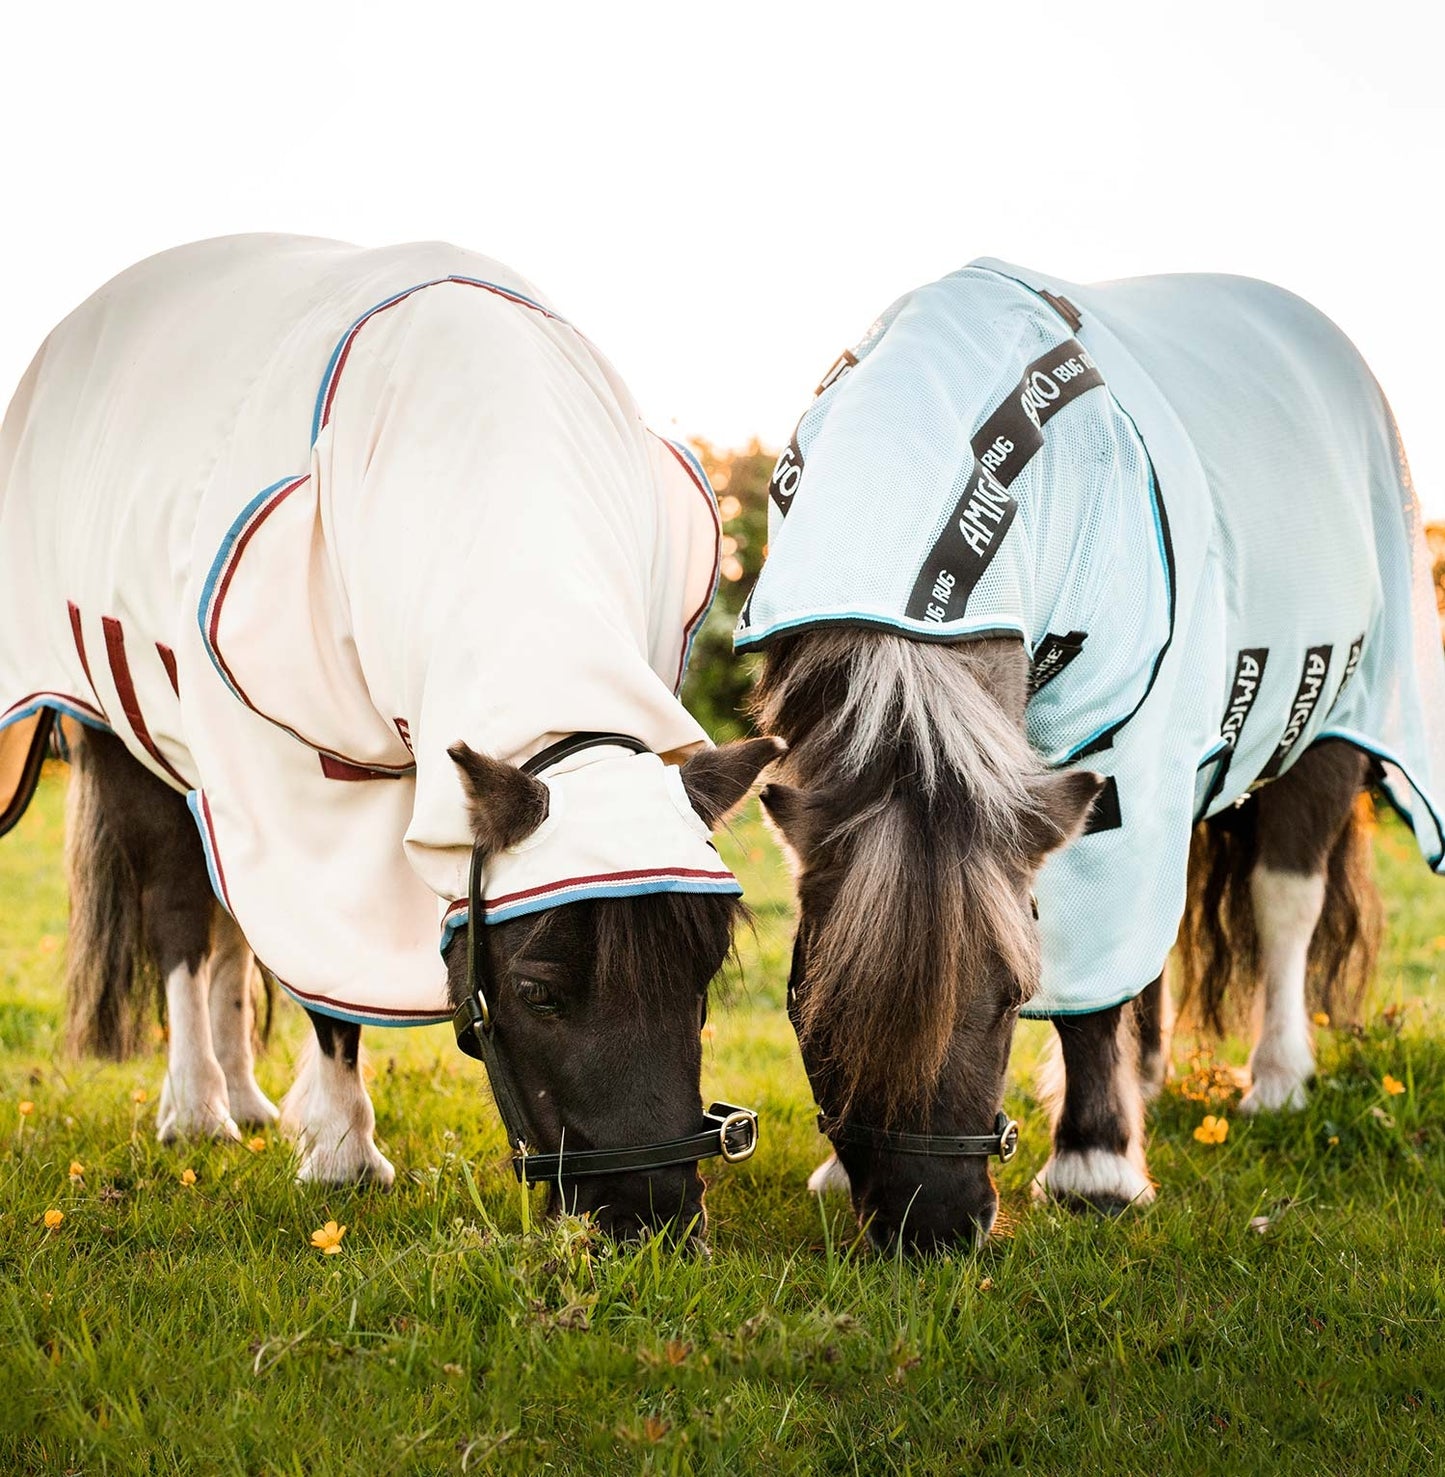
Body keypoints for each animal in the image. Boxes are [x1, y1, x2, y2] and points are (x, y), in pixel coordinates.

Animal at [0, 236, 780, 1240]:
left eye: (703, 974)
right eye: (537, 990)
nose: (653, 1219)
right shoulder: (300, 782)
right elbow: (327, 986)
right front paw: (341, 1150)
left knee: (230, 922)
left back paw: (244, 1098)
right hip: (133, 744)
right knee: (181, 914)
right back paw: (198, 1107)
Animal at [744, 262, 1442, 1246]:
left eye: (1012, 993)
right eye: (808, 1003)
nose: (933, 1224)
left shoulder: (1124, 757)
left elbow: (1093, 987)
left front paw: (1094, 1163)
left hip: (1326, 720)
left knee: (1283, 903)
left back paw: (1275, 1079)